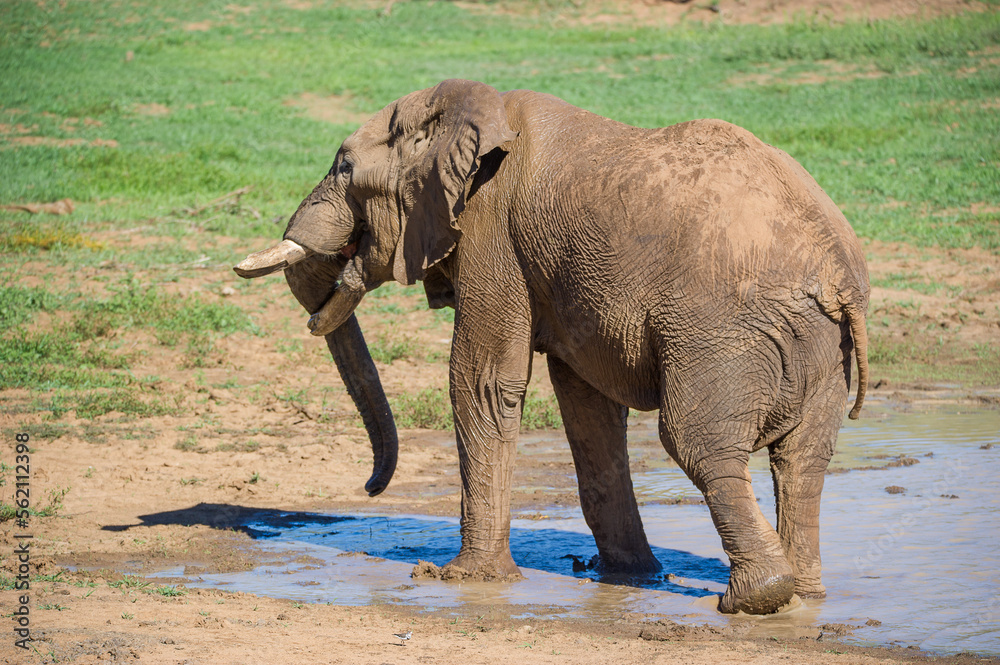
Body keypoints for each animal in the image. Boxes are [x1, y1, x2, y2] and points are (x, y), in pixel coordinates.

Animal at [234, 79, 869, 615]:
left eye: (343, 167)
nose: (369, 488)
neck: (470, 110)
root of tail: (836, 271)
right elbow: (589, 411)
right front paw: (631, 578)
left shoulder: (491, 228)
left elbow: (482, 381)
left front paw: (461, 580)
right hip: (818, 345)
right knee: (802, 460)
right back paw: (805, 596)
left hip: (724, 330)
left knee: (699, 445)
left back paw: (756, 600)